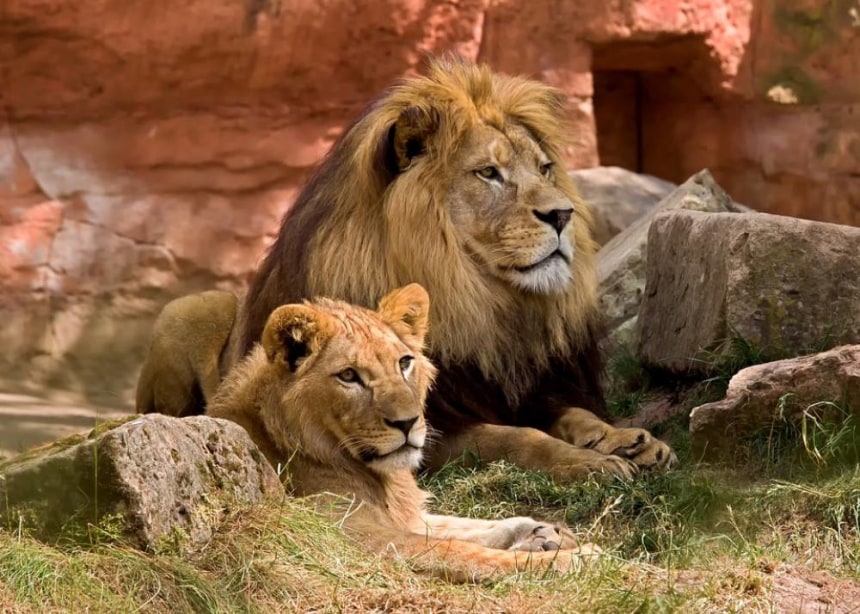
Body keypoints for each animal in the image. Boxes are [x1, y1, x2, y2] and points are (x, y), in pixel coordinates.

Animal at [207, 283, 598, 582]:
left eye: (404, 362)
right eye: (348, 376)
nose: (408, 422)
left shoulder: (405, 515)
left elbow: (464, 526)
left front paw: (542, 532)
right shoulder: (347, 538)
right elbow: (458, 550)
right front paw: (576, 558)